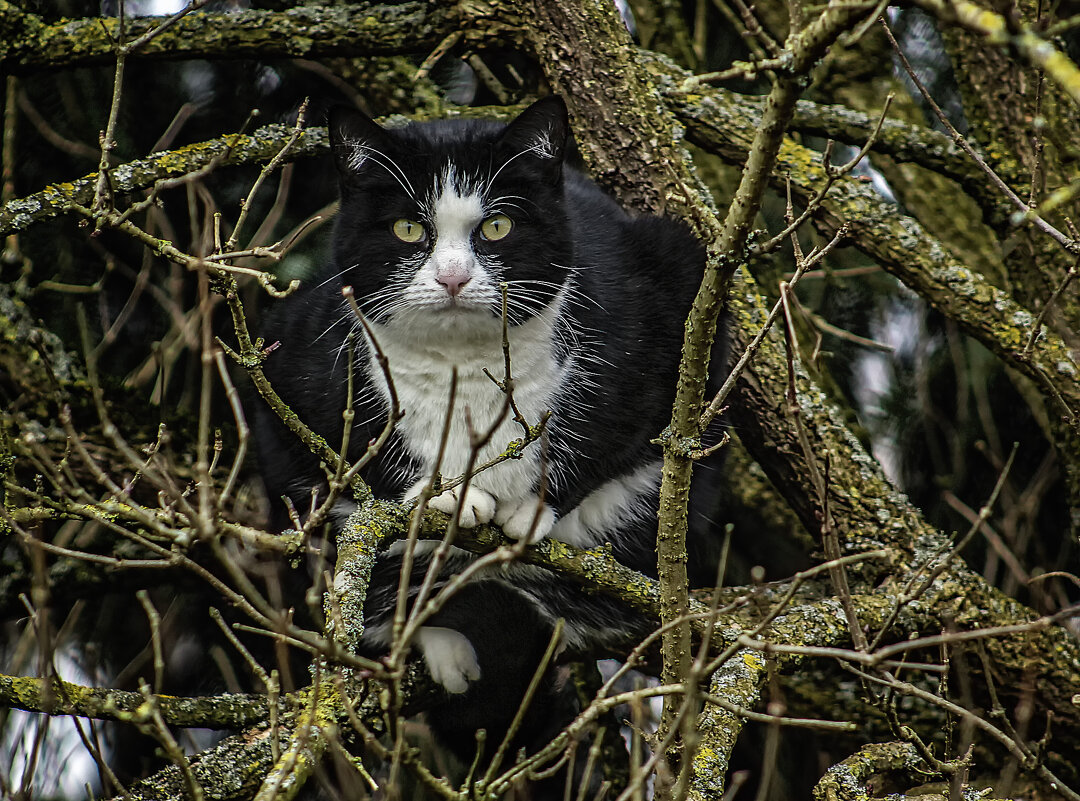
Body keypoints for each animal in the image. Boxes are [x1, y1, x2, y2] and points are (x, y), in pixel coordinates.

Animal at [252, 93, 725, 777]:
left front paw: (528, 508)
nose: (452, 277)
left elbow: (607, 428)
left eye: (496, 228)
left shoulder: (659, 315)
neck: (466, 366)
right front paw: (450, 496)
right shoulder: (296, 356)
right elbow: (364, 458)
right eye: (409, 230)